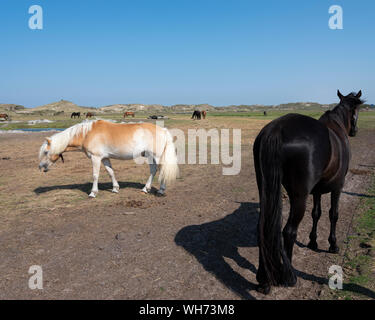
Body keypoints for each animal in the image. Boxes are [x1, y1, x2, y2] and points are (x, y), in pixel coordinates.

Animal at [39, 119, 180, 198]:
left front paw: (93, 193)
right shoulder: (104, 158)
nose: (41, 167)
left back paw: (161, 190)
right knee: (153, 170)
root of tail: (163, 130)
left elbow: (95, 175)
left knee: (161, 170)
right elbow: (110, 172)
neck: (87, 134)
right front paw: (115, 189)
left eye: (46, 152)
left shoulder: (95, 158)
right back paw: (146, 189)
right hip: (149, 156)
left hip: (157, 156)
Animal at [254, 90, 366, 296]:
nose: (354, 131)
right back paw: (287, 276)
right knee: (289, 231)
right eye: (356, 110)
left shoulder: (317, 191)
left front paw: (313, 241)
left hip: (265, 189)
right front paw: (332, 244)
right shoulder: (338, 187)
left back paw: (263, 280)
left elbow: (316, 214)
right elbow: (333, 214)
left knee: (262, 229)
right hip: (299, 197)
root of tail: (277, 129)